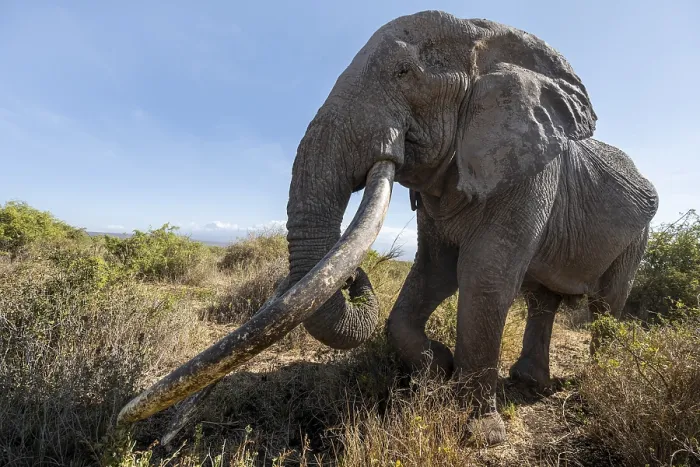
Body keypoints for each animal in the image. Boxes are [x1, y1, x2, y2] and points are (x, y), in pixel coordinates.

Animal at [116, 10, 659, 445]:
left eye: (404, 73)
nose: (150, 437)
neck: (490, 39)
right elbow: (436, 269)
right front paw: (437, 370)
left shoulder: (527, 170)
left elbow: (484, 275)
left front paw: (481, 432)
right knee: (543, 300)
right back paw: (529, 384)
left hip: (639, 234)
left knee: (607, 305)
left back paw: (592, 385)